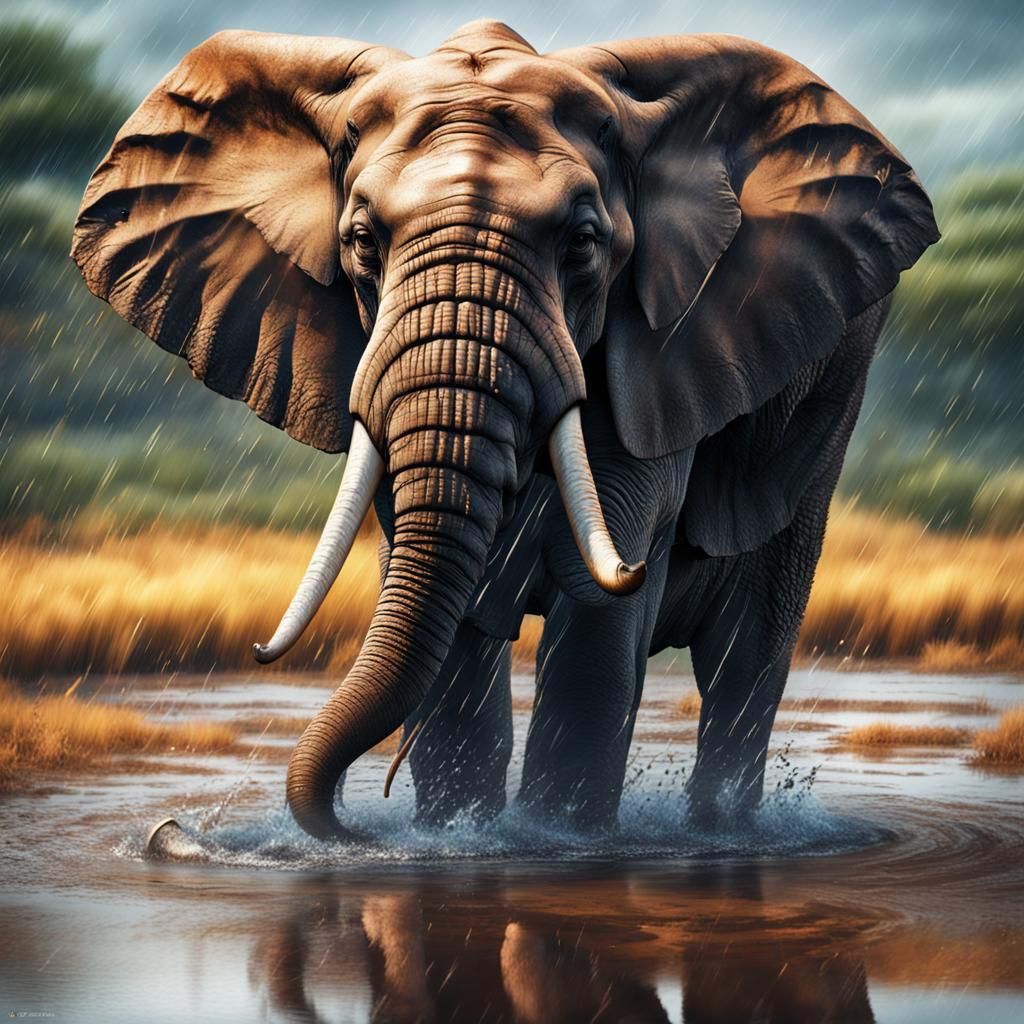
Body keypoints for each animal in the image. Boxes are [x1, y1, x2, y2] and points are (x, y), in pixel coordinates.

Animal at [71, 20, 938, 839]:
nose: (168, 827)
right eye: (361, 242)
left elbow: (595, 615)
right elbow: (439, 603)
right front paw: (458, 834)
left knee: (747, 655)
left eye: (583, 243)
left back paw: (721, 830)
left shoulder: (653, 359)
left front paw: (560, 842)